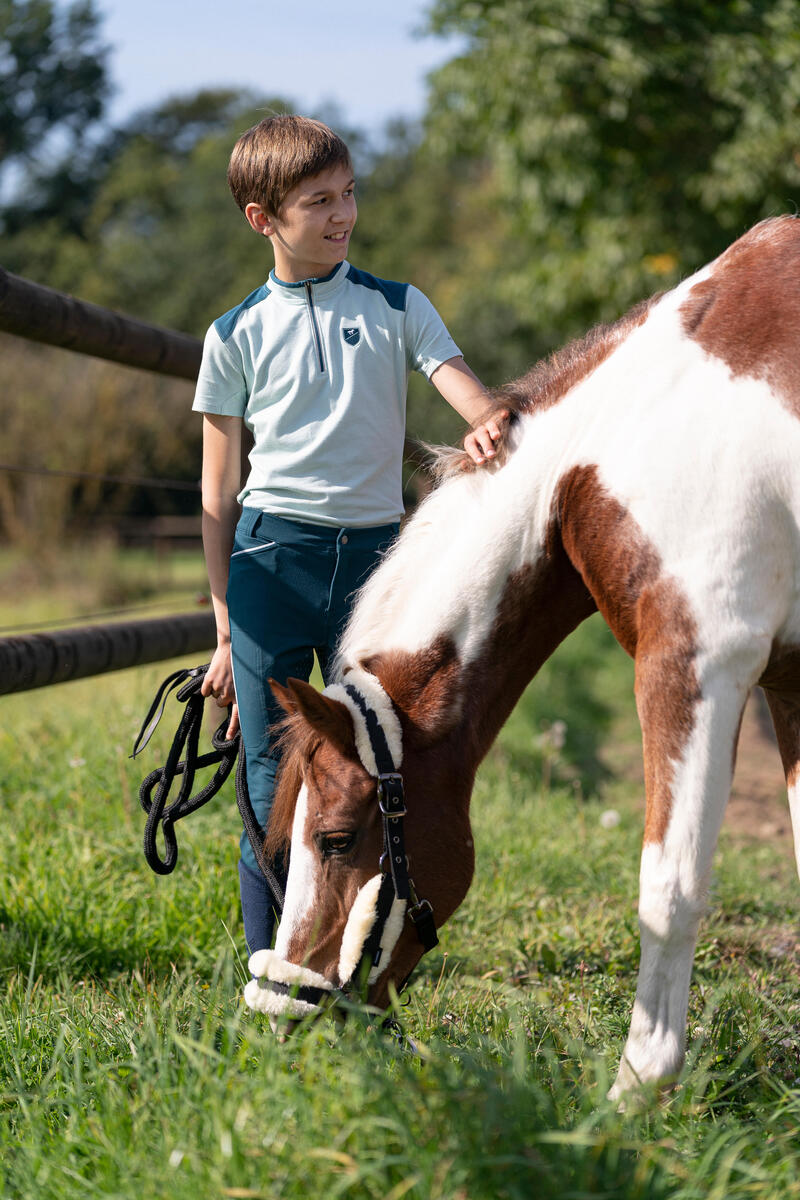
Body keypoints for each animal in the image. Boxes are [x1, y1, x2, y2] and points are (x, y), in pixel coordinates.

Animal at [242, 216, 800, 1099]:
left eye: (334, 839)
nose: (281, 1014)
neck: (617, 443)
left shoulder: (697, 659)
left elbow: (668, 887)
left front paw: (637, 1091)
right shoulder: (790, 678)